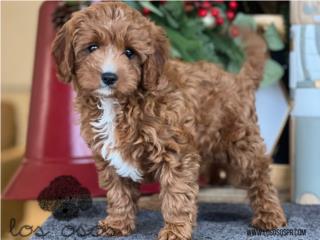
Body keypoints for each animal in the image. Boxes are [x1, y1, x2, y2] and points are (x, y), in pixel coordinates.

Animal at [52, 2, 288, 240]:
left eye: (130, 52)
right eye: (92, 47)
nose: (109, 77)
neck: (119, 104)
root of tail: (238, 79)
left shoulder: (176, 151)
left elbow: (177, 193)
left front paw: (175, 230)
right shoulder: (109, 157)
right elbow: (119, 192)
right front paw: (118, 223)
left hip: (241, 141)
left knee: (259, 175)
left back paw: (270, 215)